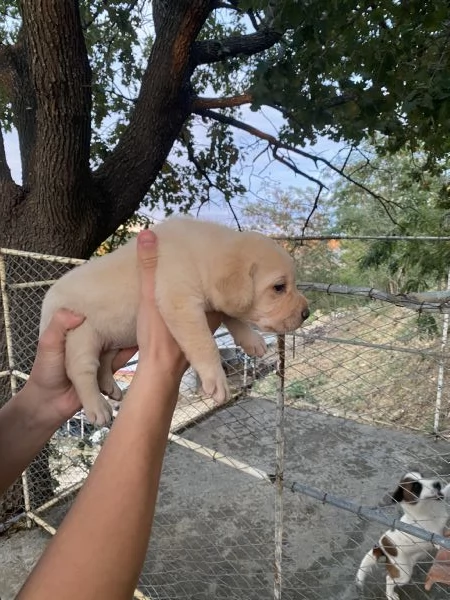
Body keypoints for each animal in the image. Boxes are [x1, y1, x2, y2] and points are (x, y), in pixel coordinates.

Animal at [40, 216, 310, 426]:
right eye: (279, 287)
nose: (306, 313)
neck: (200, 253)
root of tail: (47, 302)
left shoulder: (213, 302)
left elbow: (232, 317)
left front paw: (252, 340)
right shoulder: (180, 304)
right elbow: (205, 344)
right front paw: (215, 379)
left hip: (110, 338)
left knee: (104, 363)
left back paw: (110, 387)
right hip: (82, 335)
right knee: (82, 370)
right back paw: (97, 406)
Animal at [356, 472, 450, 600]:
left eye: (424, 476)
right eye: (416, 487)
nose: (437, 483)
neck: (427, 509)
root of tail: (382, 546)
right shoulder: (435, 537)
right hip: (403, 573)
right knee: (389, 579)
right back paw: (390, 595)